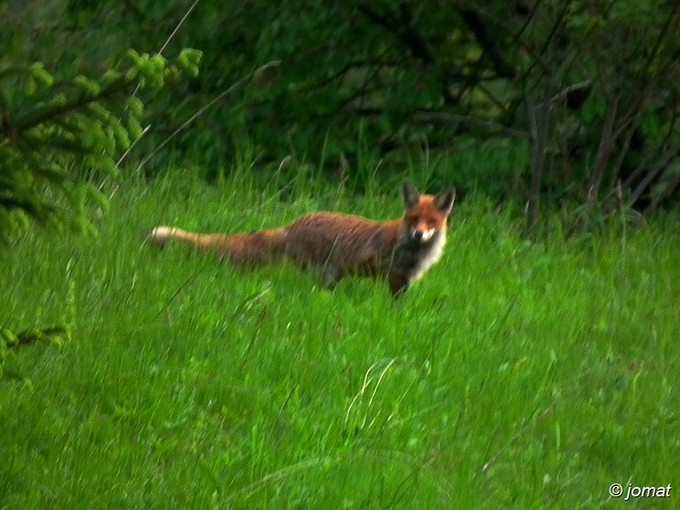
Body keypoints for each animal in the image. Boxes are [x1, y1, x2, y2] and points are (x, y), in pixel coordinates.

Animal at [149, 182, 456, 294]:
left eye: (431, 222)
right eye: (414, 220)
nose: (419, 233)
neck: (414, 251)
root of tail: (292, 225)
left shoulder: (405, 282)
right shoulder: (393, 277)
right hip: (327, 275)